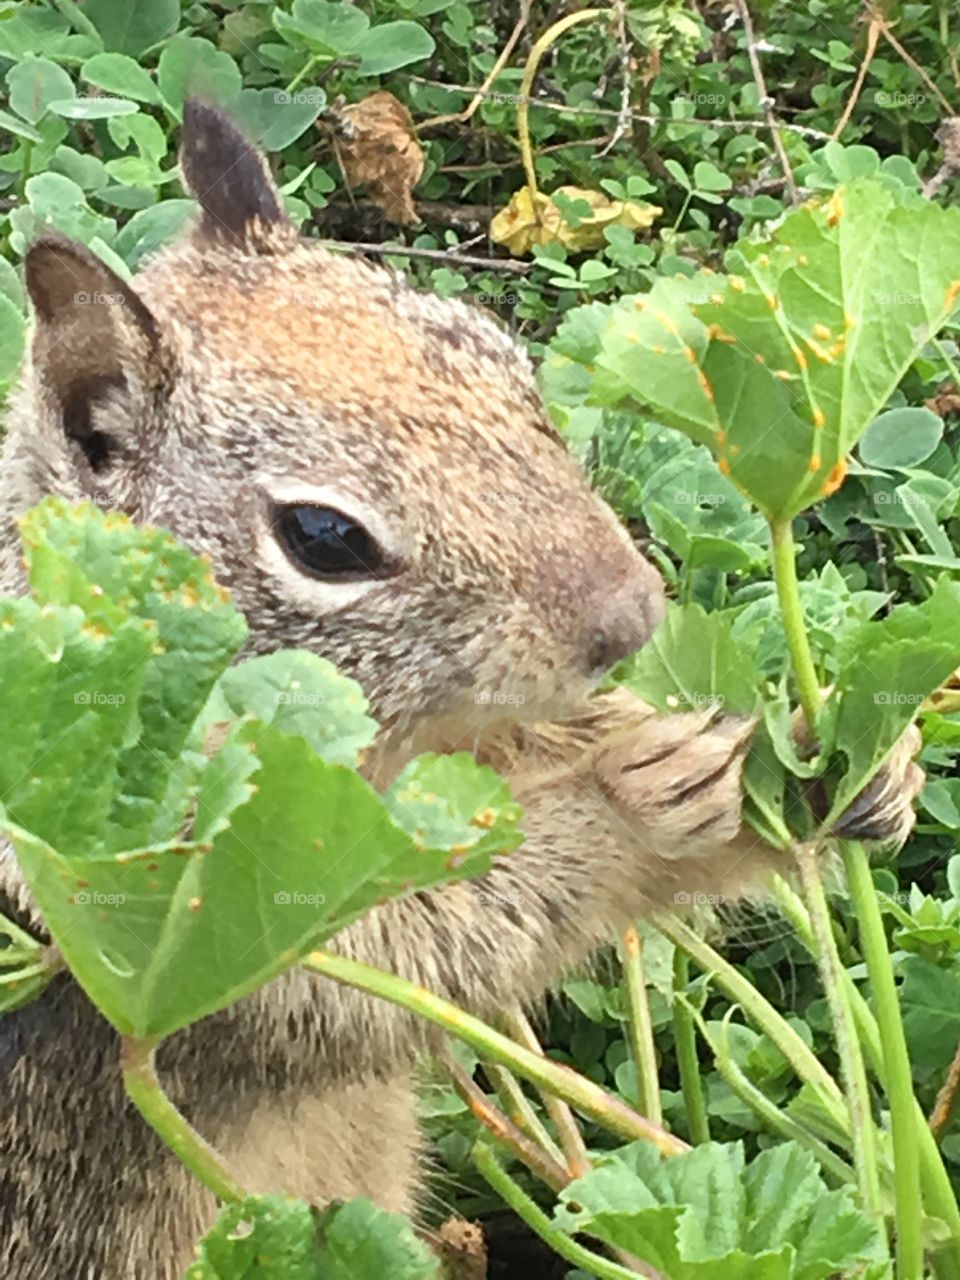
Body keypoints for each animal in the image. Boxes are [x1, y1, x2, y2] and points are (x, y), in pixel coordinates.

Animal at [0, 101, 924, 1279]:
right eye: (323, 537)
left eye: (504, 361)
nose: (631, 617)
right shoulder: (183, 896)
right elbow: (420, 946)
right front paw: (634, 805)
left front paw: (849, 766)